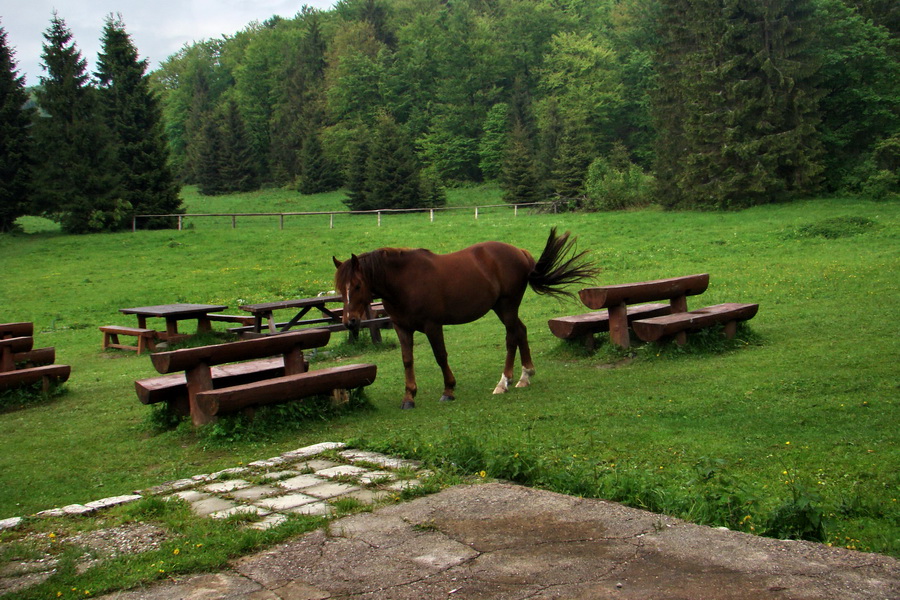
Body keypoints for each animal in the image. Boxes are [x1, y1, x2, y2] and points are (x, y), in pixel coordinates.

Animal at [332, 227, 596, 410]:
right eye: (340, 288)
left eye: (357, 285)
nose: (350, 322)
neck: (404, 281)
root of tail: (519, 252)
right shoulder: (401, 327)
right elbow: (407, 360)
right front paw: (409, 397)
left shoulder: (432, 325)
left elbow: (440, 356)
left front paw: (448, 390)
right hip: (501, 308)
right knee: (520, 331)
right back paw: (524, 376)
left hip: (507, 306)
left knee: (512, 336)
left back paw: (504, 382)